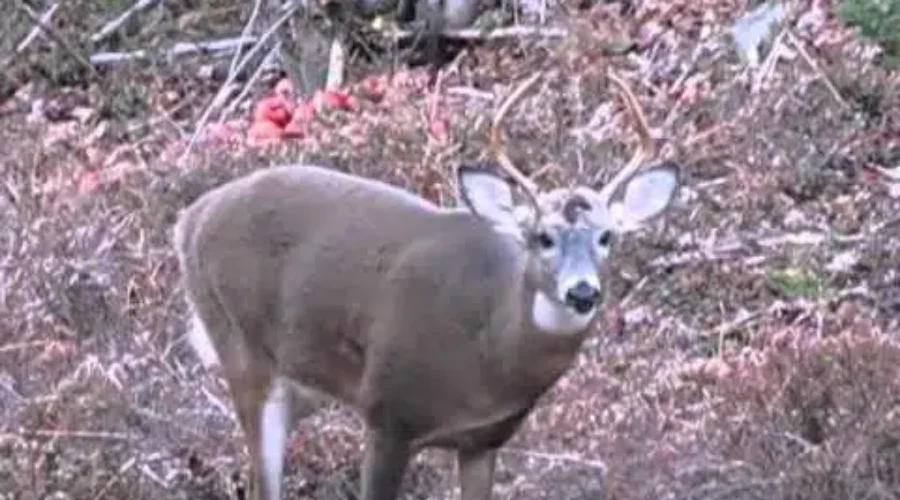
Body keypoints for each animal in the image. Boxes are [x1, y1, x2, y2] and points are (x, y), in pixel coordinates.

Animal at [172, 69, 681, 500]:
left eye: (607, 237)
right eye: (543, 237)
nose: (582, 291)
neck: (489, 346)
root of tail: (190, 218)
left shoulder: (484, 440)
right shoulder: (388, 413)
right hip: (242, 350)